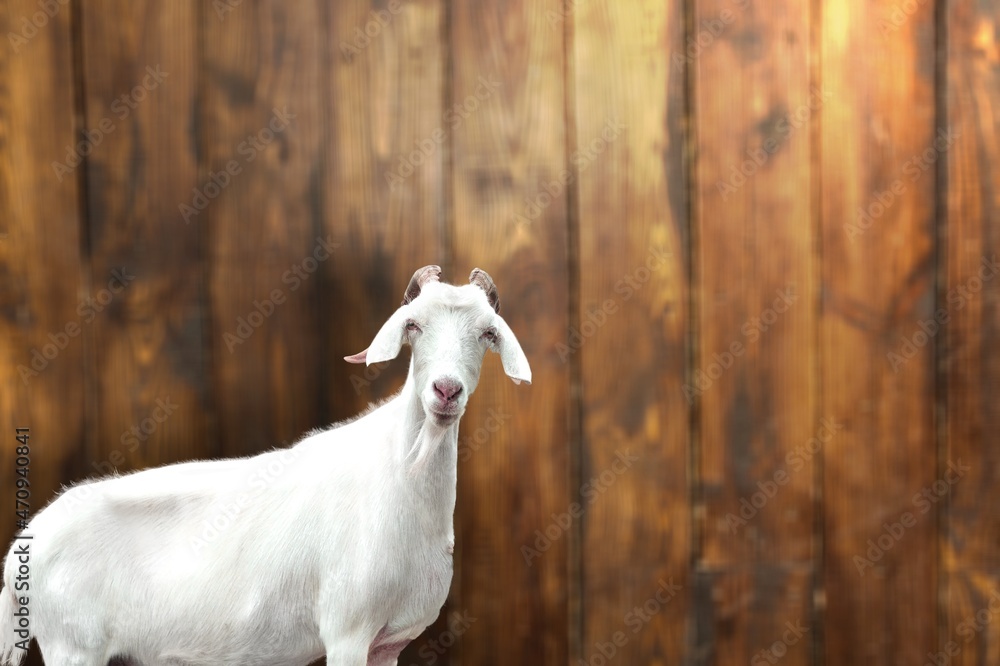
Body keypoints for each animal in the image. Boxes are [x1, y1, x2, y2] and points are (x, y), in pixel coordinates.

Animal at [0, 265, 530, 666]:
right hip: (72, 645)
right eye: (413, 326)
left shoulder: (389, 642)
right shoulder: (347, 631)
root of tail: (20, 554)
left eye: (488, 333)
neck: (399, 479)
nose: (446, 391)